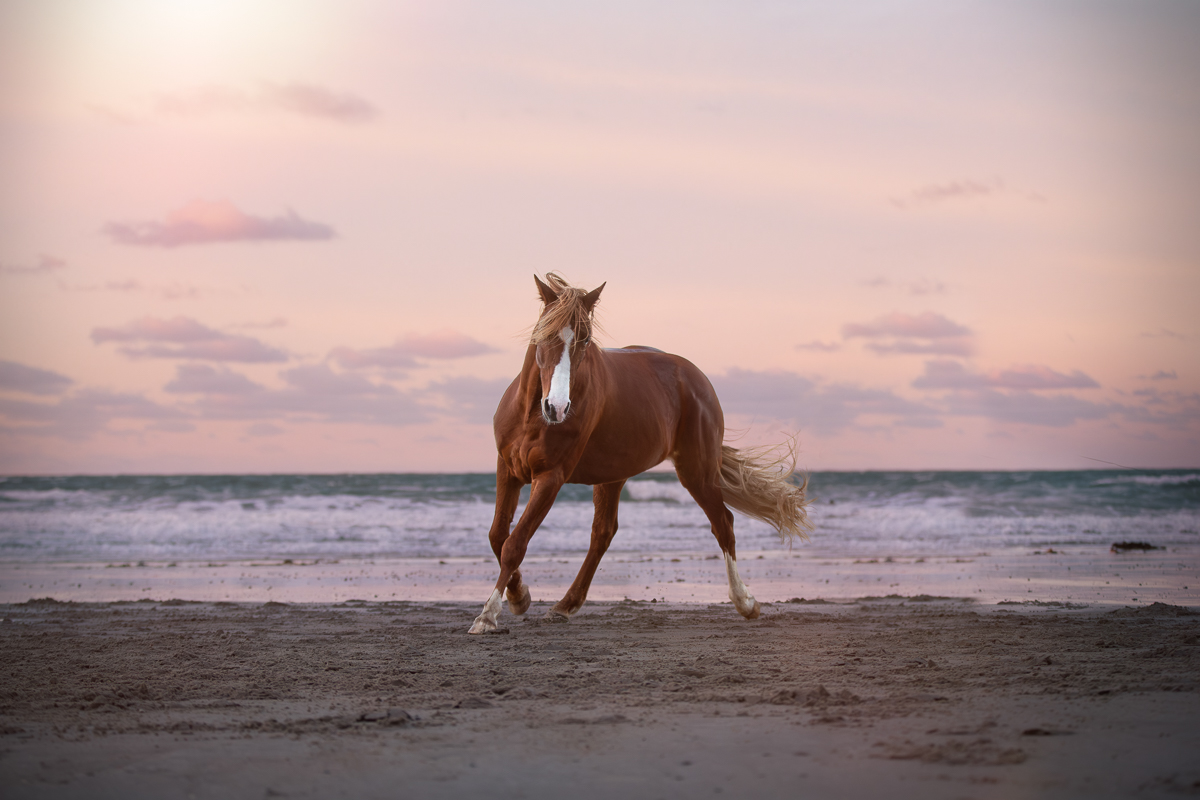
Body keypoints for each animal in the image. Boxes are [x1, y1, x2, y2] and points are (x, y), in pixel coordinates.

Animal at [468, 273, 812, 634]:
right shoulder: (507, 469)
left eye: (586, 341)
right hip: (613, 477)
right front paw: (520, 597)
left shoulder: (550, 478)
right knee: (602, 534)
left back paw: (745, 602)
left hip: (697, 472)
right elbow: (497, 536)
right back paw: (565, 605)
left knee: (723, 523)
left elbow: (514, 543)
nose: (557, 408)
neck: (531, 417)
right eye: (544, 334)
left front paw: (488, 614)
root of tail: (696, 377)